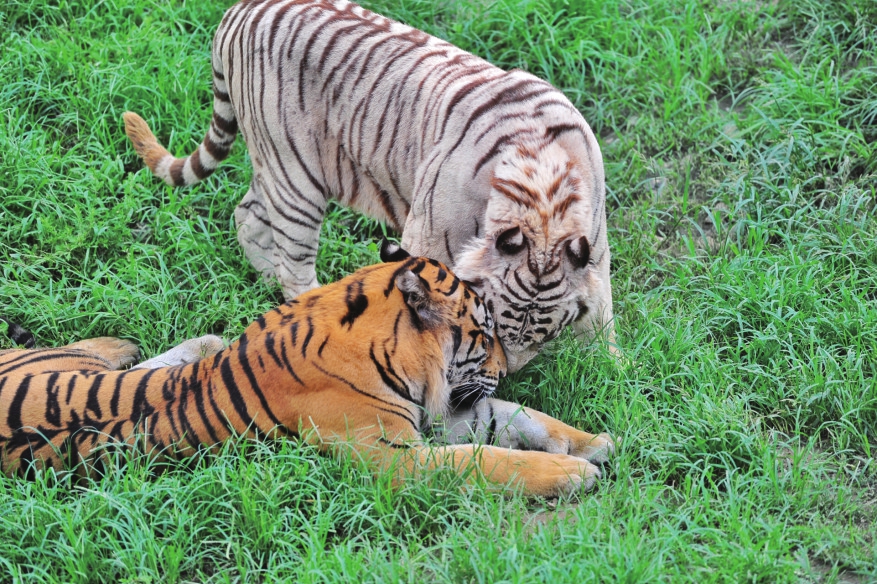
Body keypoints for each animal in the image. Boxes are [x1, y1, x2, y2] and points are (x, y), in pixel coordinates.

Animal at [0, 246, 612, 498]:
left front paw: (591, 443)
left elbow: (512, 416)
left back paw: (183, 343)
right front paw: (571, 474)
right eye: (484, 337)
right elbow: (487, 458)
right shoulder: (392, 453)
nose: (506, 368)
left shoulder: (426, 418)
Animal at [123, 0, 612, 372]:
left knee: (248, 216)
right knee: (292, 263)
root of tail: (241, 9)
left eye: (542, 337)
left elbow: (603, 317)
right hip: (295, 176)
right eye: (495, 325)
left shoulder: (597, 249)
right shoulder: (430, 238)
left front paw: (613, 373)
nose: (507, 372)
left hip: (275, 169)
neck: (543, 197)